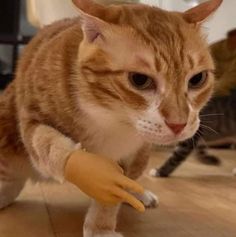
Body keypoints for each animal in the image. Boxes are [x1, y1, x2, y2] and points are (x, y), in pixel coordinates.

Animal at [0, 0, 221, 236]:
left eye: (197, 79)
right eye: (139, 80)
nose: (179, 124)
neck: (110, 116)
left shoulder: (127, 157)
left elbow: (114, 190)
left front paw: (100, 227)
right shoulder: (31, 117)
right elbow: (46, 143)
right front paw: (82, 166)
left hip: (142, 155)